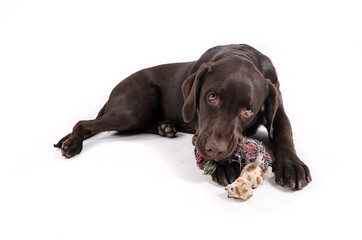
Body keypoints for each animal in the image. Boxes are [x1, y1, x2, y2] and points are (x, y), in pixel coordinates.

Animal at [53, 44, 312, 190]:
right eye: (212, 96)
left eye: (248, 109)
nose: (215, 150)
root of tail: (114, 90)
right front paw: (224, 167)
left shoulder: (278, 107)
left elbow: (284, 133)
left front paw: (292, 166)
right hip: (133, 109)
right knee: (85, 123)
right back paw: (72, 143)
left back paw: (165, 128)